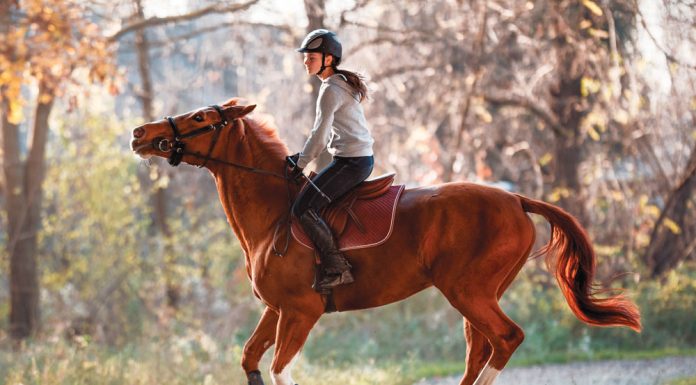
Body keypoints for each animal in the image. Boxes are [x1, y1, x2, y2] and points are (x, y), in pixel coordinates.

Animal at [130, 99, 640, 384]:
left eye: (200, 117)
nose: (139, 133)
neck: (273, 214)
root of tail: (515, 198)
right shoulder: (276, 310)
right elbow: (250, 359)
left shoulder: (300, 311)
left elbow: (278, 369)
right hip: (475, 296)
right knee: (481, 351)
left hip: (469, 291)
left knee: (505, 339)